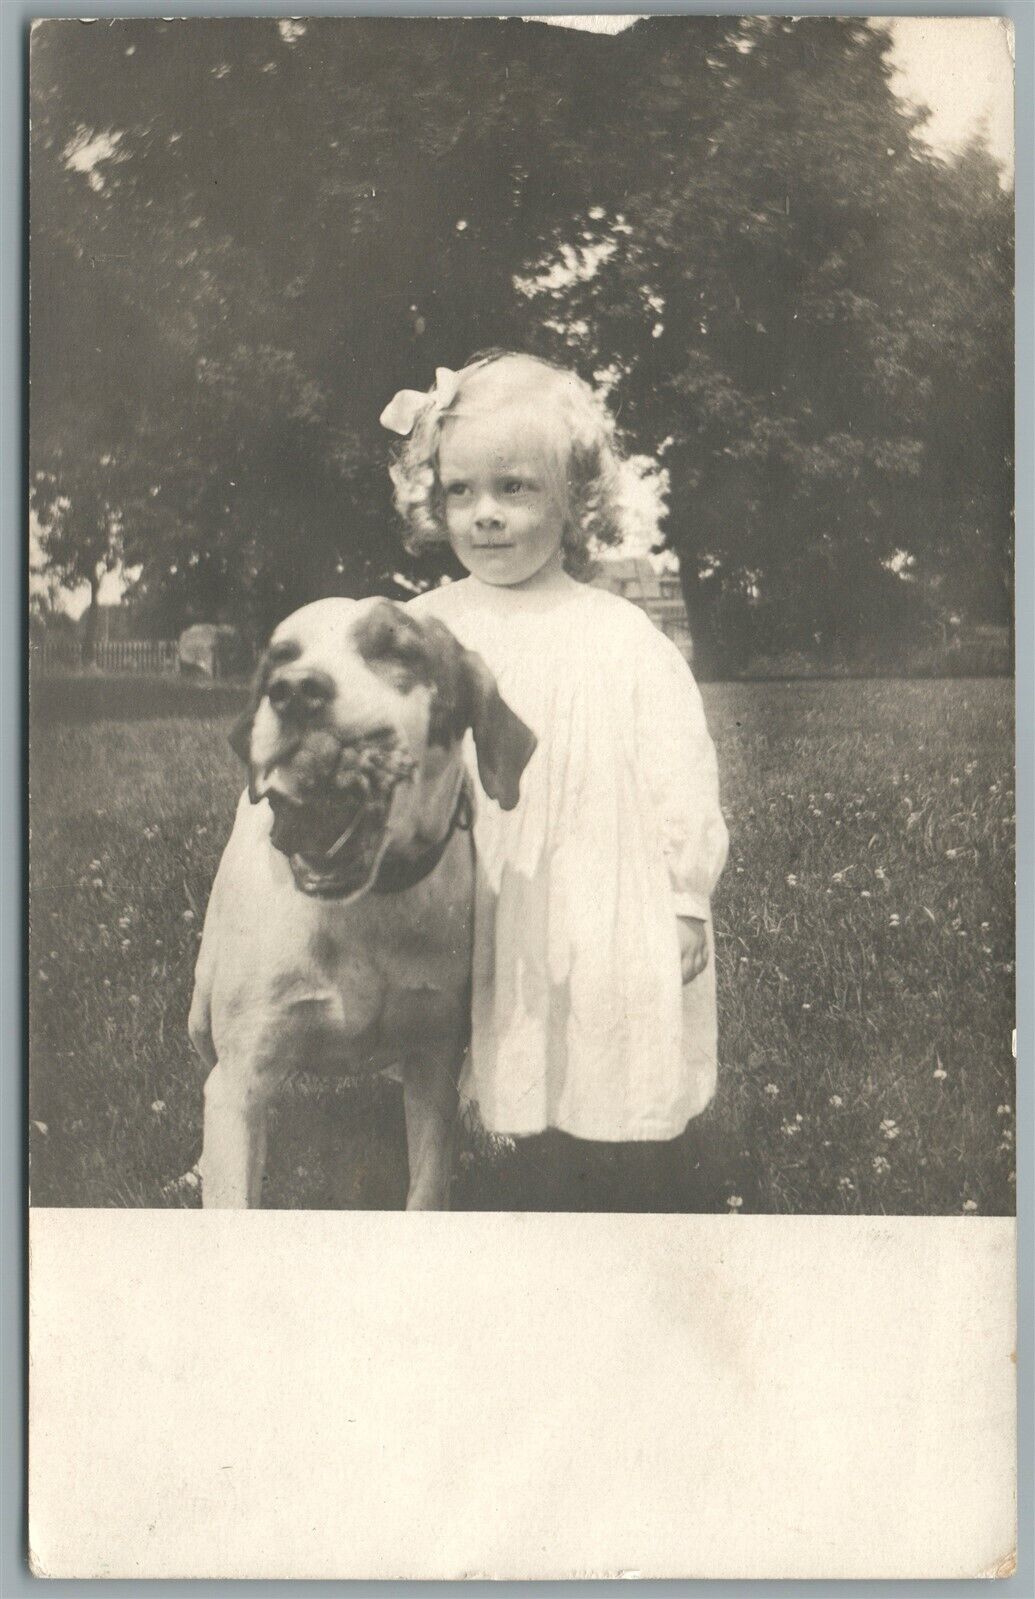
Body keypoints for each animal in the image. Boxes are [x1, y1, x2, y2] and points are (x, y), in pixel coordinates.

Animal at [187, 601, 537, 1208]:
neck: (367, 903)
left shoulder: (431, 1066)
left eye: (397, 650)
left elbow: (427, 1184)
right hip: (201, 1014)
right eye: (280, 657)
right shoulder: (241, 1082)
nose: (293, 691)